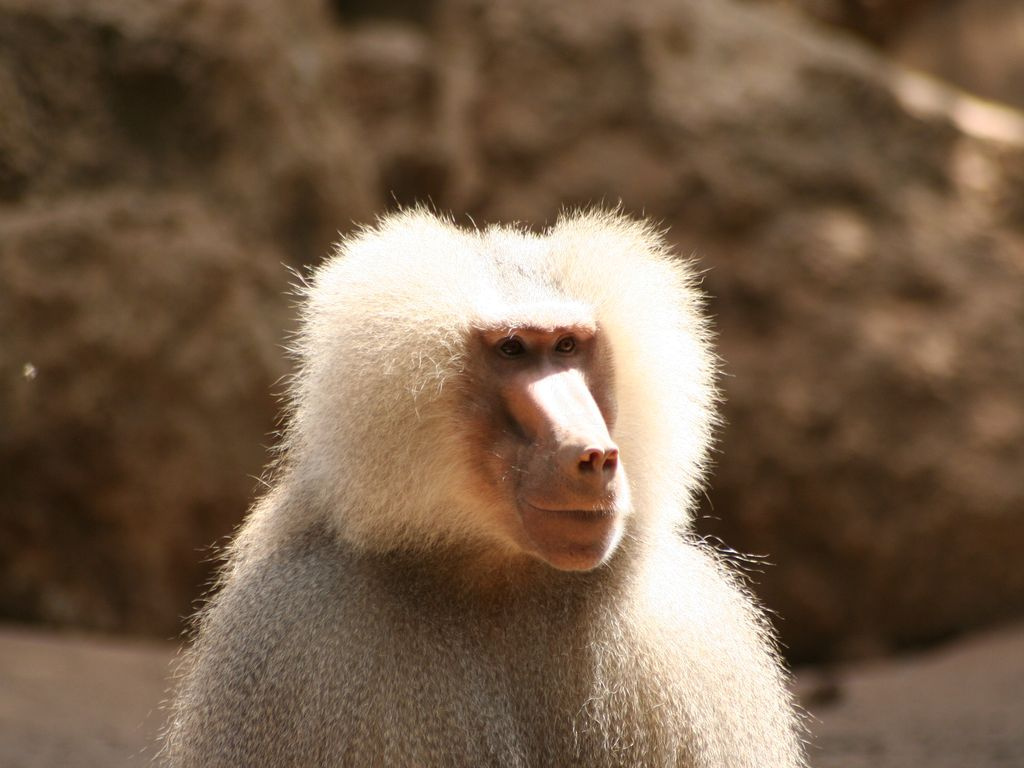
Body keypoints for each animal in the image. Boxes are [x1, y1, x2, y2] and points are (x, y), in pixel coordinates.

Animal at [162, 209, 806, 767]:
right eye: (513, 349)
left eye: (567, 346)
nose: (594, 456)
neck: (496, 572)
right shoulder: (294, 640)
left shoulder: (690, 644)